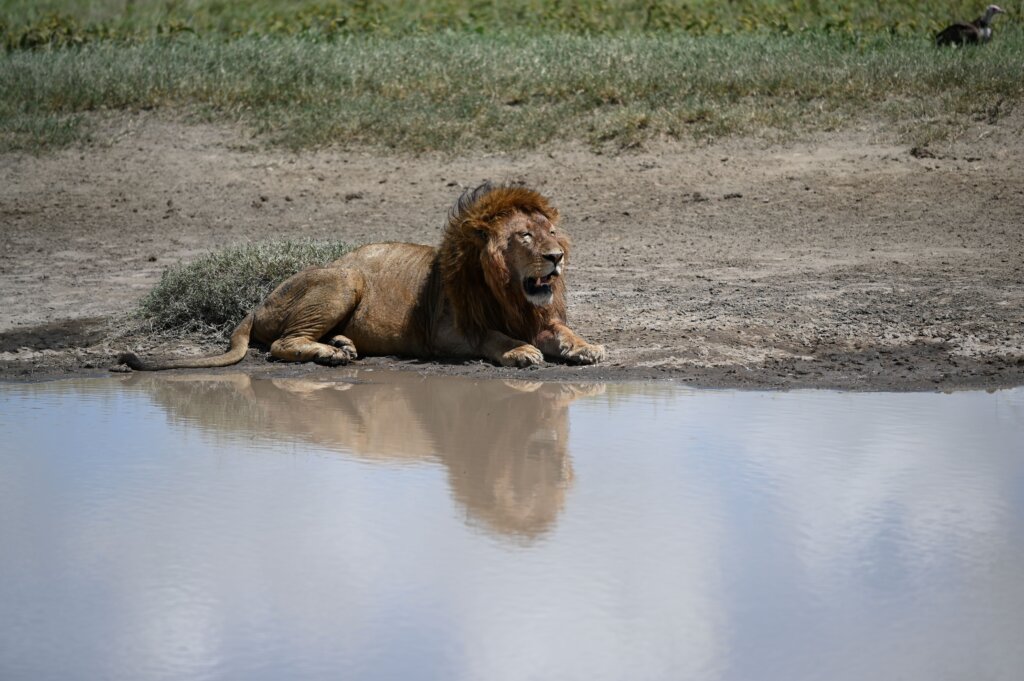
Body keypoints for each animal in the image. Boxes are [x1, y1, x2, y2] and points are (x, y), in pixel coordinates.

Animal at [117, 182, 602, 372]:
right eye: (524, 235)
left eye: (551, 232)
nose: (557, 257)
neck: (509, 293)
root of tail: (256, 305)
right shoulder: (446, 332)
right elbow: (493, 337)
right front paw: (520, 351)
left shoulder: (538, 315)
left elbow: (563, 331)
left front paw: (587, 347)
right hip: (344, 279)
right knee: (281, 344)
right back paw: (332, 354)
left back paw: (341, 344)